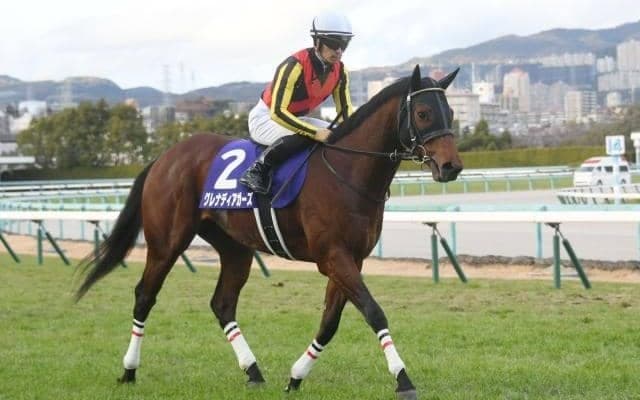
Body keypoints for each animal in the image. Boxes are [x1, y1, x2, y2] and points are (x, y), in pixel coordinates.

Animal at [75, 64, 463, 400]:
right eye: (423, 113)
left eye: (451, 114)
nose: (452, 167)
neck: (347, 172)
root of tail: (163, 157)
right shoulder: (333, 256)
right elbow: (373, 311)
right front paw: (403, 379)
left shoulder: (351, 258)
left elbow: (330, 322)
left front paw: (295, 376)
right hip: (167, 242)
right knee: (145, 295)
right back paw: (129, 370)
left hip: (234, 248)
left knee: (222, 304)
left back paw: (253, 371)